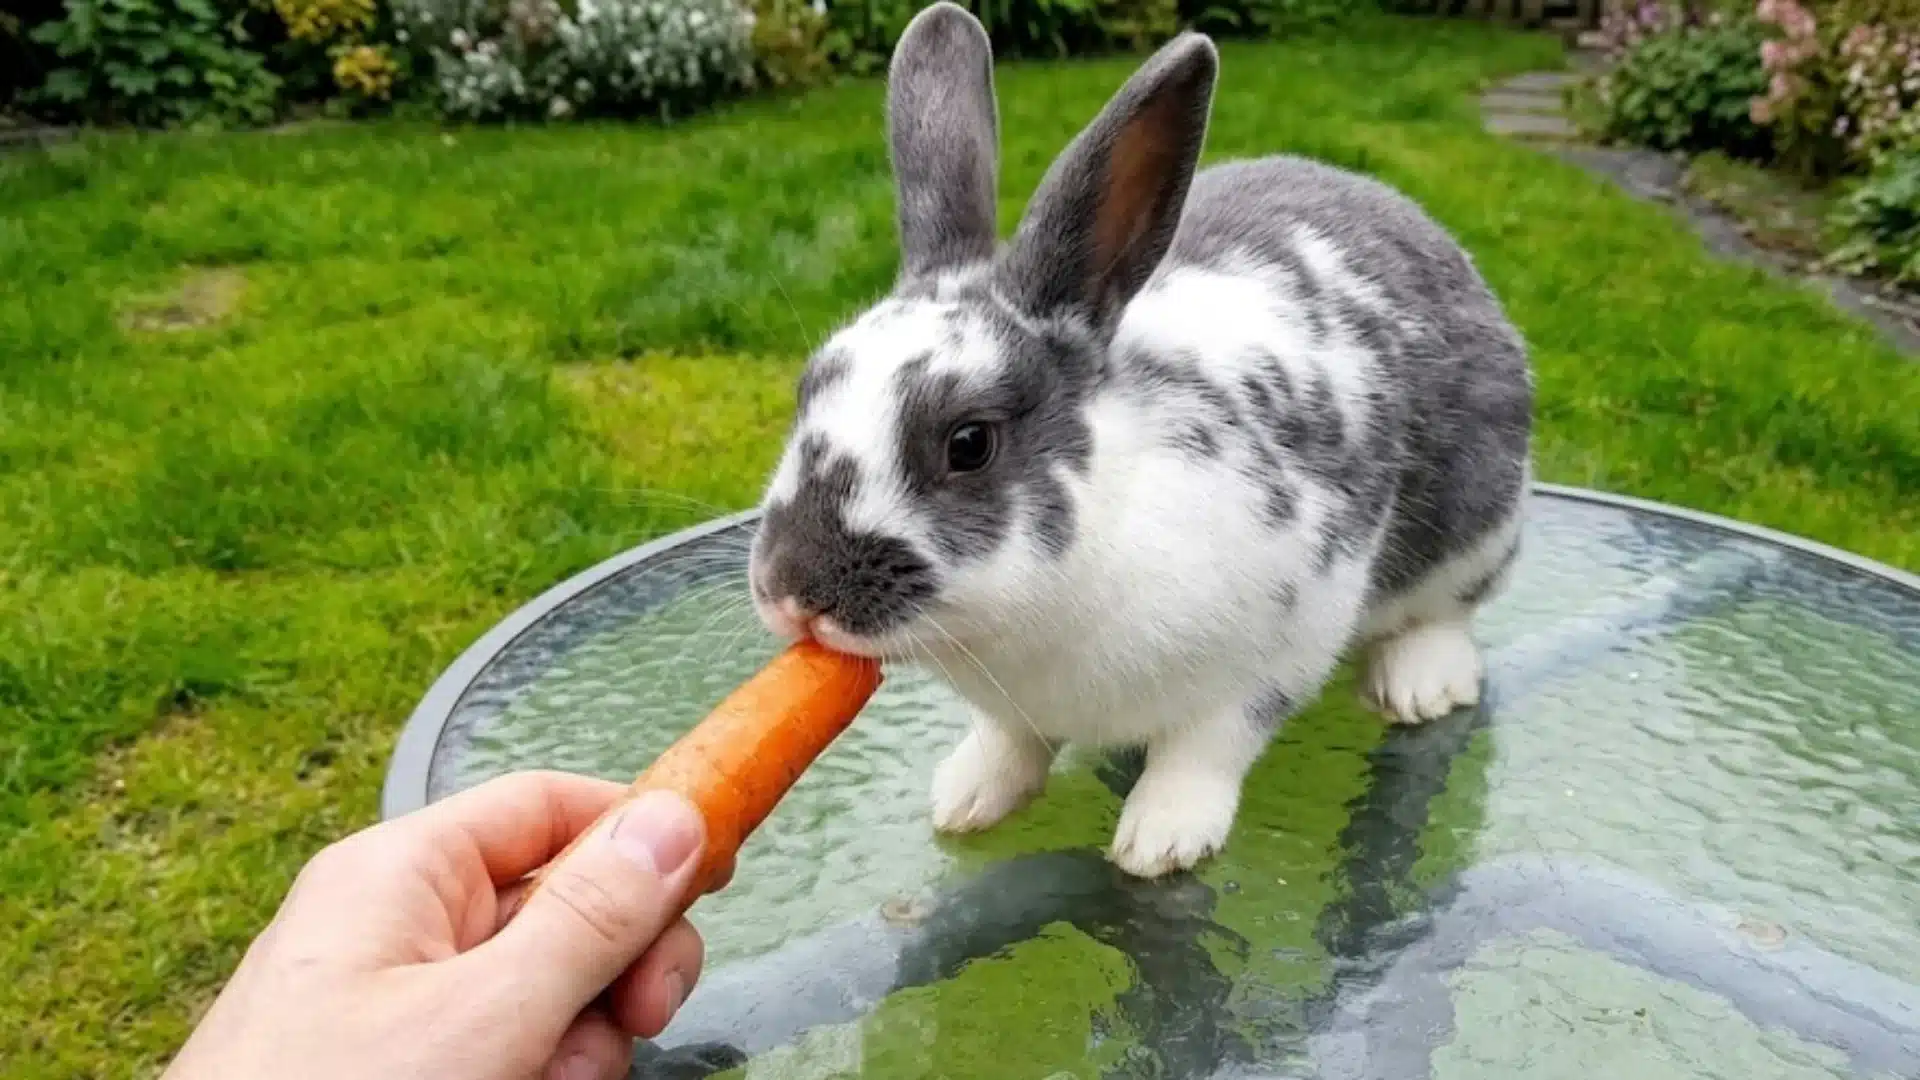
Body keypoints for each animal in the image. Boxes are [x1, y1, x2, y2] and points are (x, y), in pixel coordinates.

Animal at [745, 1, 1533, 879]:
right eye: (810, 386)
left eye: (969, 443)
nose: (791, 590)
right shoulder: (1016, 710)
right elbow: (1011, 742)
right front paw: (967, 798)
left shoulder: (1282, 645)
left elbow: (1206, 750)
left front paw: (1160, 839)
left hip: (1481, 517)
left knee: (1448, 610)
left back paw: (1420, 685)